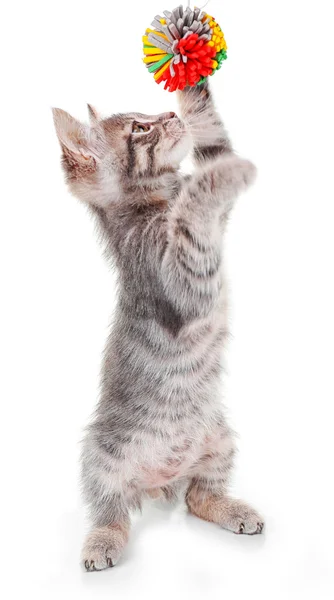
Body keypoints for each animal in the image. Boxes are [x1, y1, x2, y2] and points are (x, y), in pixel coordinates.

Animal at [52, 81, 264, 572]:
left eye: (148, 113)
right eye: (139, 128)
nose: (167, 113)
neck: (156, 198)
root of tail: (159, 481)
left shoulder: (216, 217)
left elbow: (212, 138)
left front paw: (190, 76)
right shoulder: (182, 281)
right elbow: (192, 211)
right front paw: (228, 173)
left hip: (219, 440)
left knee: (198, 498)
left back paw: (229, 507)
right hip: (100, 459)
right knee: (111, 509)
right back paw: (101, 540)